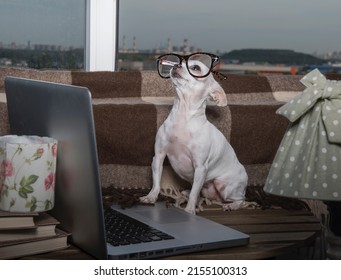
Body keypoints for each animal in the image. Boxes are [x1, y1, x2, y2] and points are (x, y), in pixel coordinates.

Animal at [139, 54, 246, 213]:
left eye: (196, 68)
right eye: (178, 61)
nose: (176, 65)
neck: (183, 116)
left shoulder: (200, 167)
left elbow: (195, 193)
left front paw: (189, 210)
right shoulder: (158, 156)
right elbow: (156, 182)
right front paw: (151, 197)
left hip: (224, 186)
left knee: (241, 199)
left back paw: (231, 205)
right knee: (200, 191)